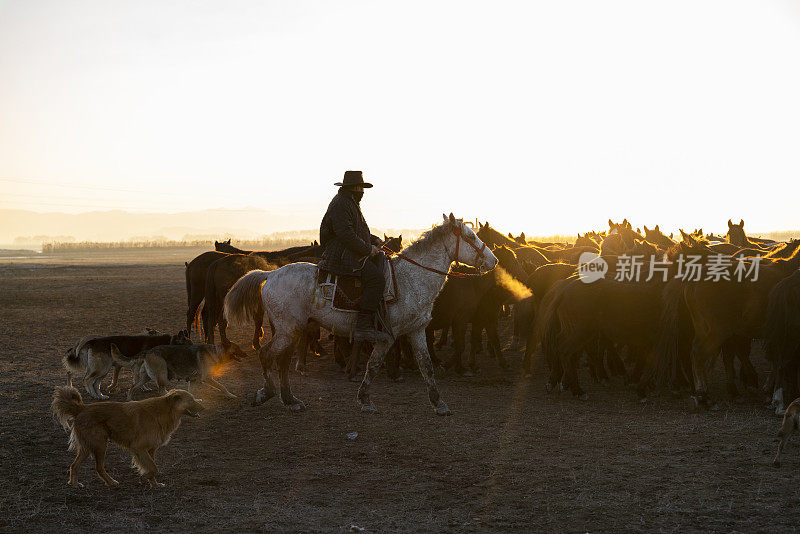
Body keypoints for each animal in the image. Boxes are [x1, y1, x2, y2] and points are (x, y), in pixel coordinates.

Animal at [51, 388, 203, 488]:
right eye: (191, 400)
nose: (203, 406)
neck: (165, 411)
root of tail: (81, 408)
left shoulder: (151, 449)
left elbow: (153, 467)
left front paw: (154, 484)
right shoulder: (139, 448)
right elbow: (153, 468)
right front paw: (143, 478)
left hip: (88, 447)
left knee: (74, 465)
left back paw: (75, 483)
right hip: (100, 444)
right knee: (98, 467)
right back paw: (109, 482)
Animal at [222, 216, 496, 416]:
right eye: (471, 236)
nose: (493, 260)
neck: (411, 280)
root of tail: (270, 275)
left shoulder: (417, 330)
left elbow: (426, 366)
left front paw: (439, 404)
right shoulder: (388, 337)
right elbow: (373, 366)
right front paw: (365, 399)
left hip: (291, 330)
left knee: (281, 361)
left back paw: (290, 400)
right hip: (288, 330)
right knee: (266, 354)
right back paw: (265, 393)